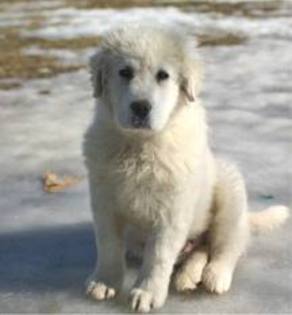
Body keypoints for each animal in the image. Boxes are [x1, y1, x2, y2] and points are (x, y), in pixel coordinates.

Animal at [82, 22, 290, 314]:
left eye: (163, 75)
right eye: (125, 72)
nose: (141, 107)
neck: (141, 145)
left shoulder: (172, 209)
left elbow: (158, 256)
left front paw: (146, 292)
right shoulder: (104, 199)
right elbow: (108, 244)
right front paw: (104, 282)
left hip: (230, 190)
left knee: (228, 246)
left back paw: (215, 275)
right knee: (202, 247)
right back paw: (187, 275)